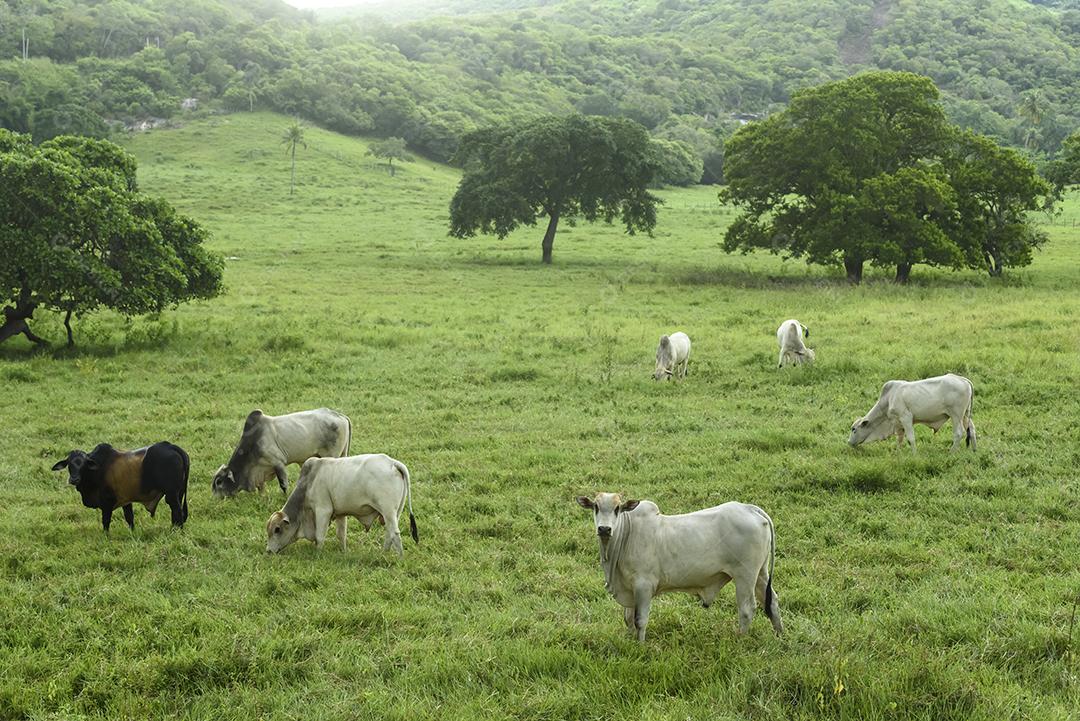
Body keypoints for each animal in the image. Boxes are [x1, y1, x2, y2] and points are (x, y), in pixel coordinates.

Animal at [265, 453, 416, 556]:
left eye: (277, 529)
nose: (268, 551)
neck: (308, 484)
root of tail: (392, 462)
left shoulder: (323, 510)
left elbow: (319, 536)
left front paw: (317, 553)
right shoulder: (340, 514)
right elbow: (341, 534)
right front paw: (344, 551)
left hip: (388, 511)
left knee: (395, 534)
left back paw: (399, 558)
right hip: (394, 513)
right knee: (389, 534)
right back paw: (383, 553)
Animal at [578, 490, 781, 643]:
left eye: (617, 509)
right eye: (596, 507)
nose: (604, 529)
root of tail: (750, 508)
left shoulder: (644, 586)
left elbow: (640, 620)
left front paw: (641, 646)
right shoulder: (629, 588)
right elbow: (627, 619)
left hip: (745, 575)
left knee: (747, 609)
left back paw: (740, 639)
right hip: (760, 573)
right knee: (771, 602)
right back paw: (780, 636)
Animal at [846, 375, 976, 453]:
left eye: (854, 429)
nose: (849, 442)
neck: (888, 399)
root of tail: (963, 379)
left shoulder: (906, 418)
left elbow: (910, 438)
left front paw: (914, 455)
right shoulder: (898, 423)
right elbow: (900, 438)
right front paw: (898, 452)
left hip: (956, 415)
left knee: (959, 433)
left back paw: (951, 452)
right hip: (966, 414)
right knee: (972, 429)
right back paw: (974, 450)